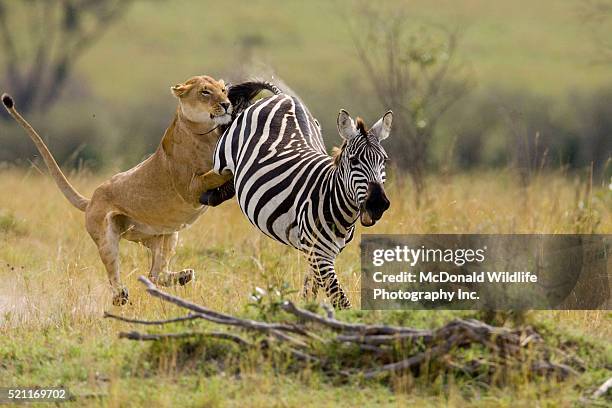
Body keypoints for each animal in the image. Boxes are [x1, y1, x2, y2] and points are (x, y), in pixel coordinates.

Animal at [200, 81, 392, 308]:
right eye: (354, 161)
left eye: (384, 160)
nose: (377, 203)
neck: (332, 198)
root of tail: (282, 96)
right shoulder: (319, 254)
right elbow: (340, 301)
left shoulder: (321, 253)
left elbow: (310, 290)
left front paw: (306, 310)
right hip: (222, 158)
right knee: (216, 172)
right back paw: (205, 195)